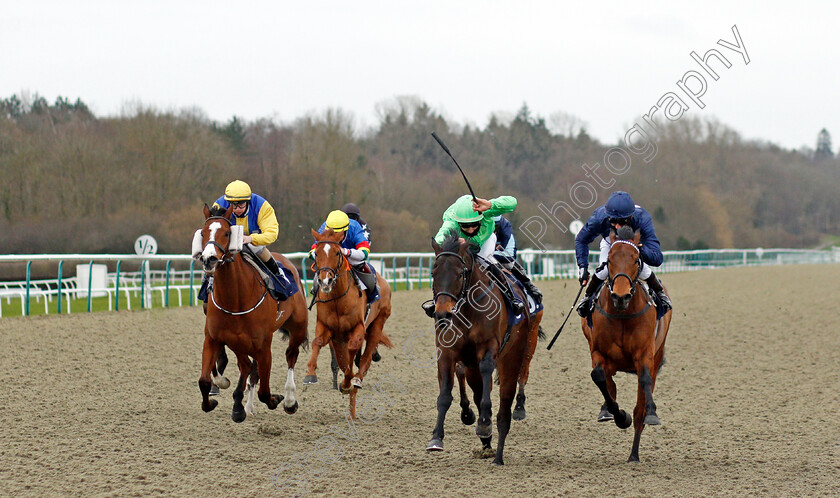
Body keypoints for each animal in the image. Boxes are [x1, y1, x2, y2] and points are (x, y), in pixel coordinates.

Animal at [196, 204, 308, 422]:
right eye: (203, 233)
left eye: (227, 233)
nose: (209, 259)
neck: (236, 298)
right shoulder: (214, 338)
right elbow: (204, 380)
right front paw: (216, 401)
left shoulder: (263, 345)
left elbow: (264, 391)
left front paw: (276, 399)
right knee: (248, 367)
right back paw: (245, 406)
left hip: (297, 327)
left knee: (291, 356)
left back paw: (289, 400)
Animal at [306, 228, 394, 418]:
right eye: (317, 253)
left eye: (337, 253)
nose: (325, 281)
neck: (338, 299)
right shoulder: (326, 328)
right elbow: (317, 342)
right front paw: (310, 374)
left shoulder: (358, 328)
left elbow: (353, 352)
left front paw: (348, 382)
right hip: (339, 340)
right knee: (342, 360)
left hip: (377, 324)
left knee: (365, 358)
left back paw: (356, 382)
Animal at [426, 231, 544, 464]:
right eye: (434, 272)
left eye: (460, 274)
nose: (442, 314)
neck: (467, 310)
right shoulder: (447, 351)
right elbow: (445, 394)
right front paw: (436, 438)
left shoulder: (489, 348)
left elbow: (487, 373)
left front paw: (484, 423)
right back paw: (486, 441)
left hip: (526, 342)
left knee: (521, 373)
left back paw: (514, 411)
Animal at [580, 224, 672, 462]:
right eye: (609, 259)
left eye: (636, 259)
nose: (620, 296)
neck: (622, 314)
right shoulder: (599, 352)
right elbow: (599, 376)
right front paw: (619, 415)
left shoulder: (645, 353)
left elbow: (645, 384)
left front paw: (650, 413)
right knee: (608, 382)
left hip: (658, 352)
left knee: (641, 402)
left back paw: (634, 454)